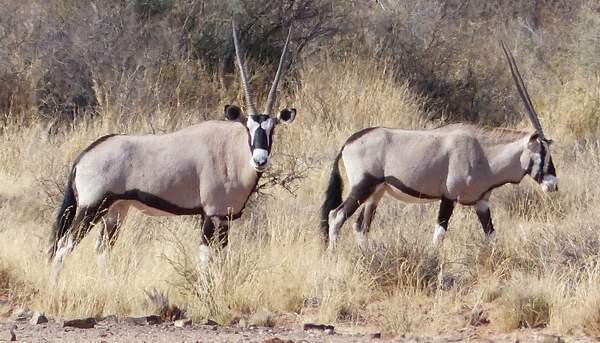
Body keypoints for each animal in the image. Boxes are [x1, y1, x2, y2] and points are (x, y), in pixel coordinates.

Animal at [48, 20, 296, 280]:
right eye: (249, 128)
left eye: (272, 129)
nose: (260, 160)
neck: (232, 152)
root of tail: (84, 156)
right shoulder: (211, 215)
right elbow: (206, 260)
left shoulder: (225, 219)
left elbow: (221, 261)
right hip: (91, 208)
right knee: (63, 247)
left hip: (115, 210)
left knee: (102, 251)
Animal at [322, 43, 560, 253]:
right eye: (542, 153)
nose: (553, 185)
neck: (483, 153)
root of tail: (349, 142)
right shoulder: (449, 197)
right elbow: (439, 234)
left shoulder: (481, 203)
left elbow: (491, 235)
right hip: (362, 186)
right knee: (336, 216)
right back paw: (333, 254)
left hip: (376, 192)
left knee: (360, 226)